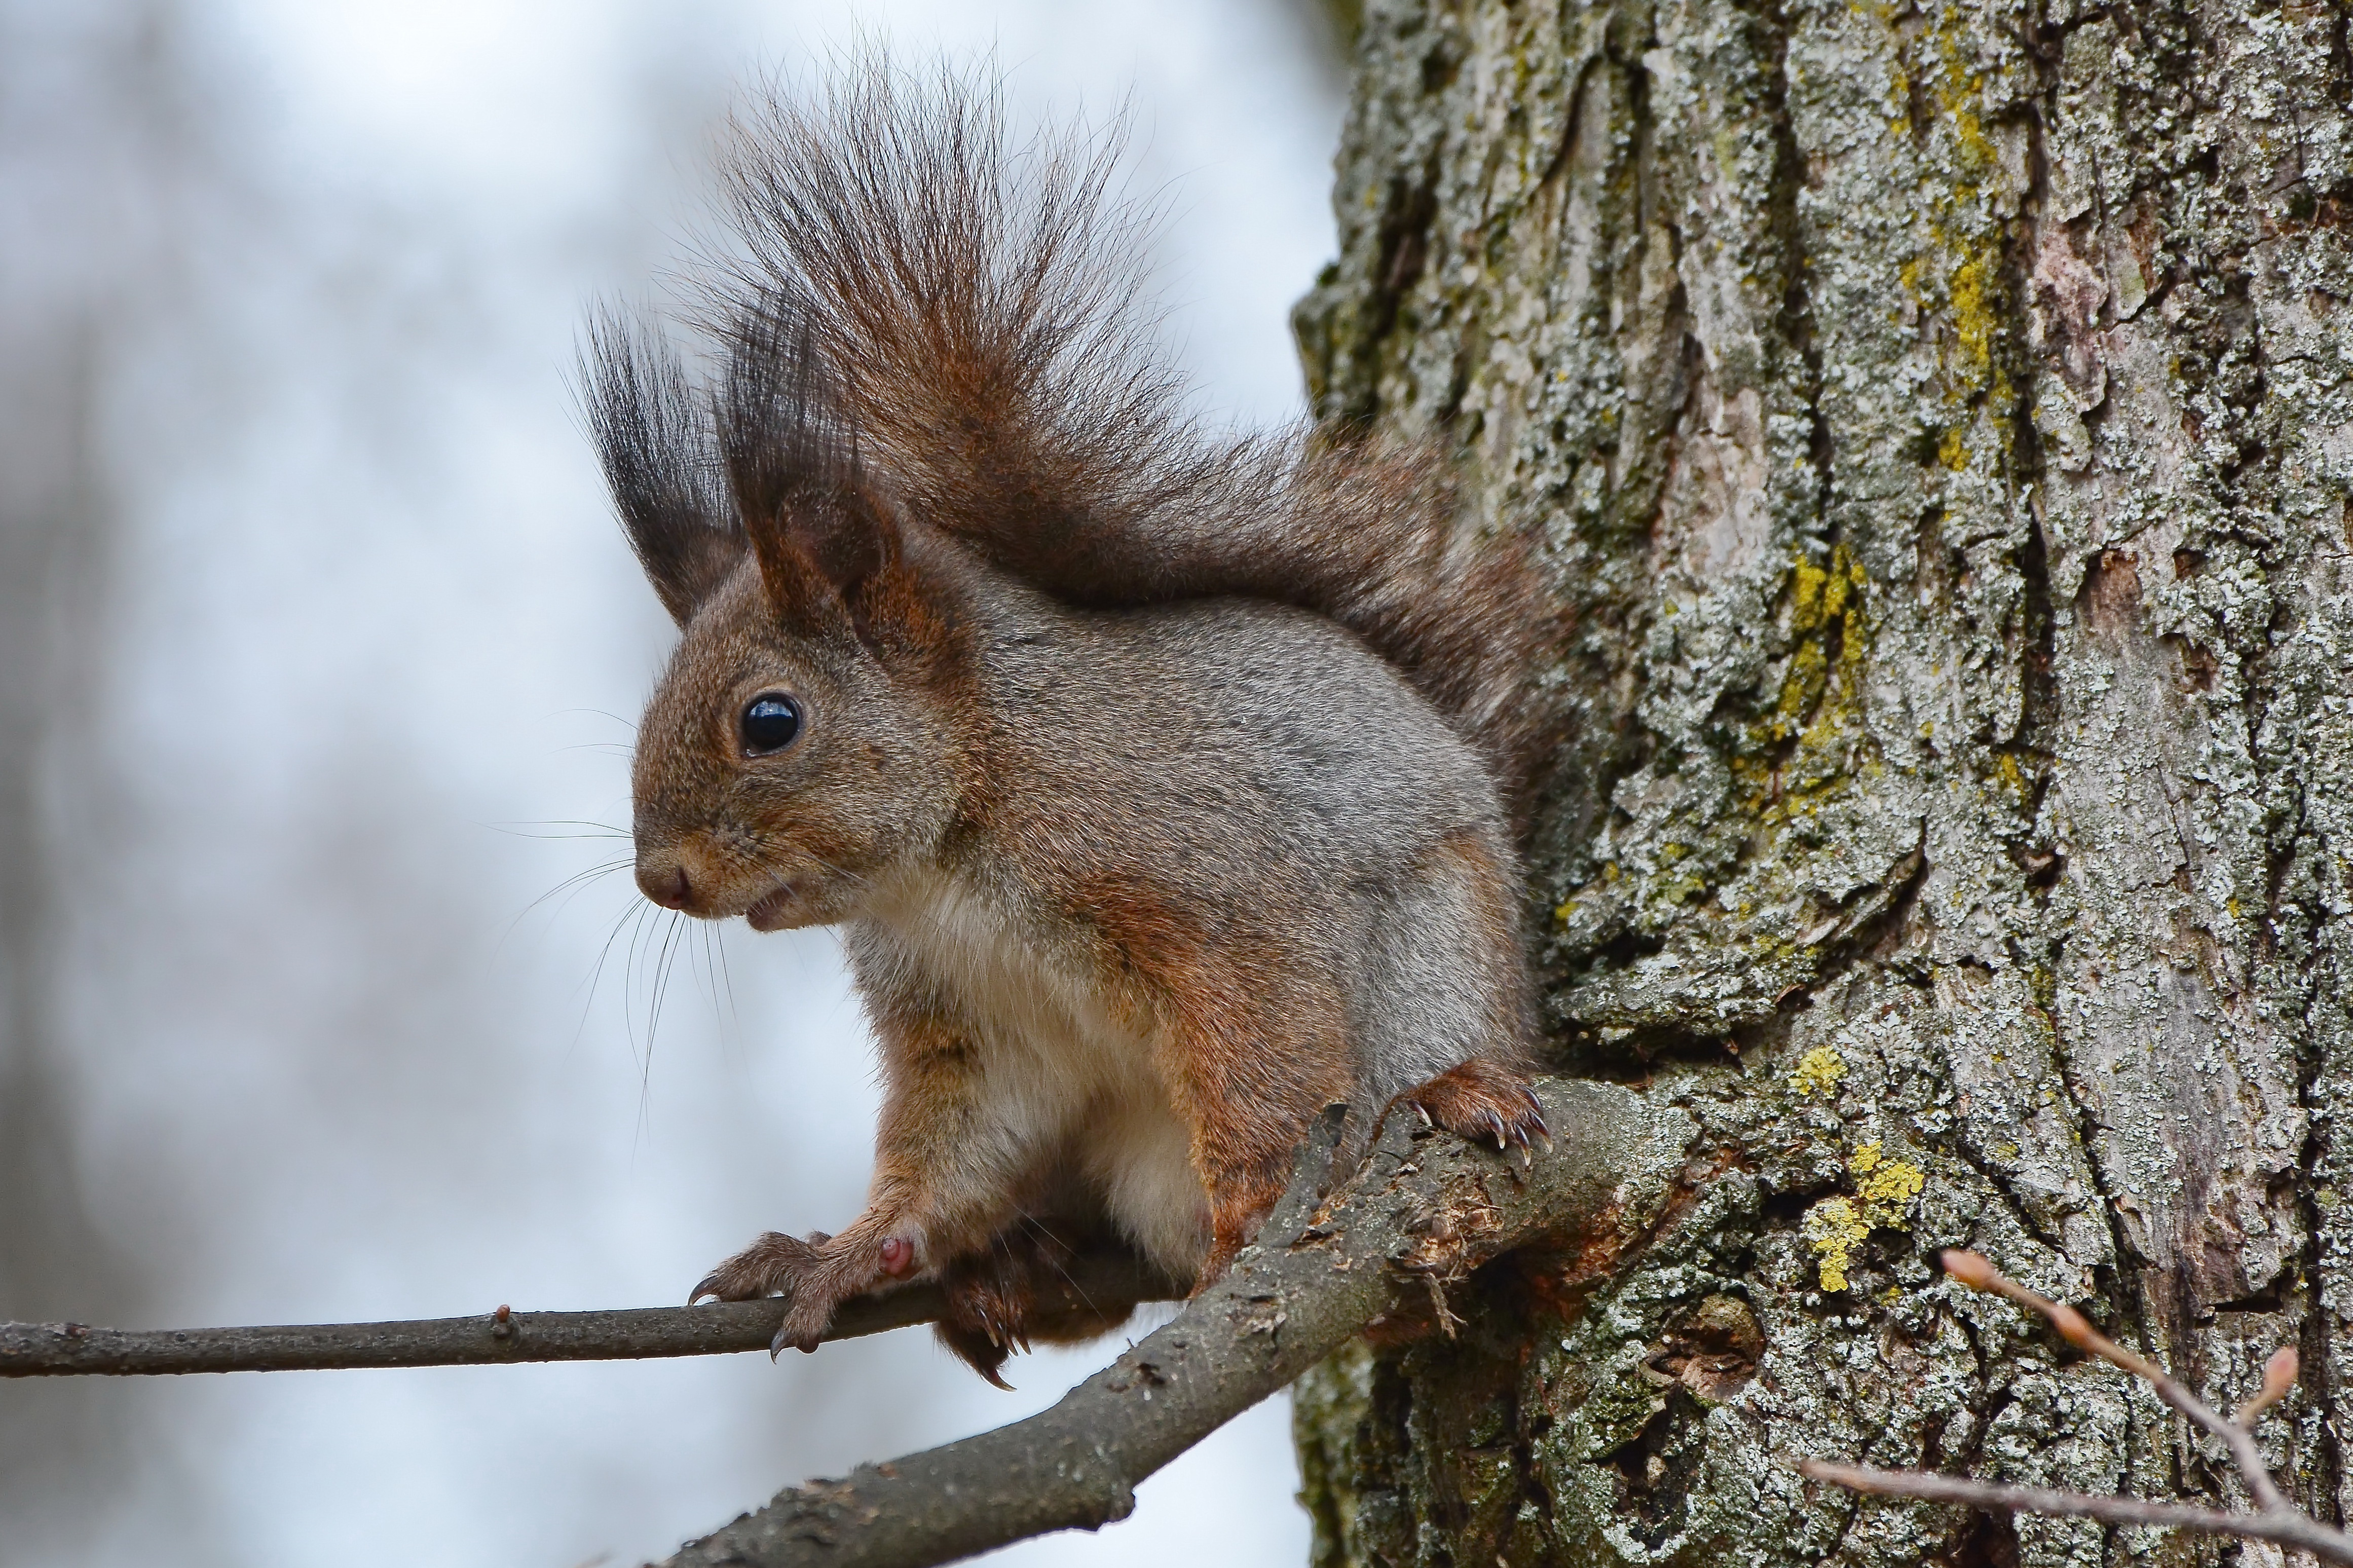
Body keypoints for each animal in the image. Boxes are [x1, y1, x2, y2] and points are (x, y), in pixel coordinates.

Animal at [579, 58, 1553, 1384]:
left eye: (769, 720)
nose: (661, 879)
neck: (952, 846)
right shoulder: (965, 1024)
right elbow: (953, 1145)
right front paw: (857, 1246)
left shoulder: (1207, 888)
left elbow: (1266, 1058)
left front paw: (1255, 1214)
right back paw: (1019, 1272)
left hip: (1430, 965)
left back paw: (1449, 1100)